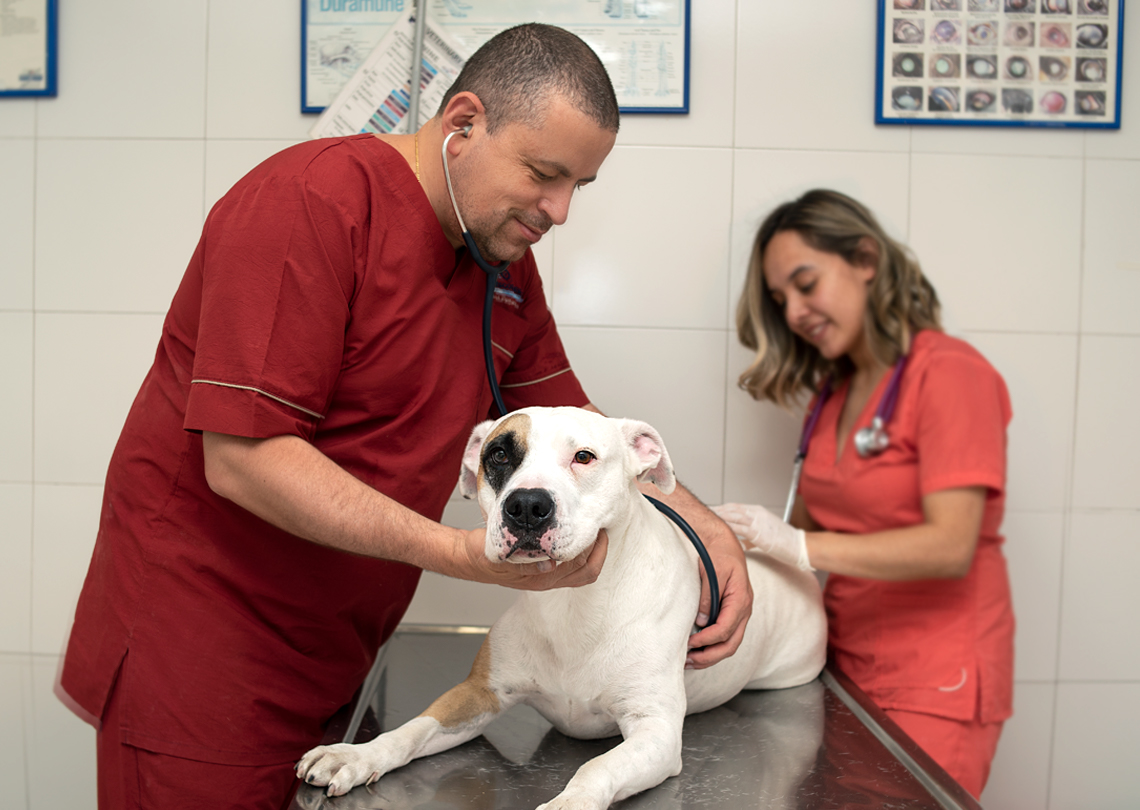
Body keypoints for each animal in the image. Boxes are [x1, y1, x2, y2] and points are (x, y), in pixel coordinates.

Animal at [298, 407, 825, 806]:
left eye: (584, 457)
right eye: (499, 454)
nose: (527, 506)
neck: (574, 604)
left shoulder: (654, 733)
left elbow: (596, 769)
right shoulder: (479, 693)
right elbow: (411, 730)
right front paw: (355, 756)